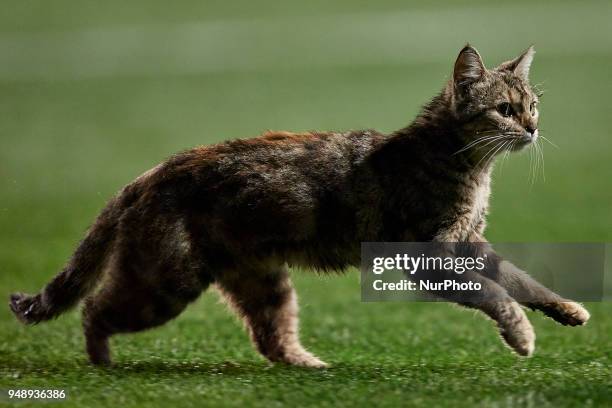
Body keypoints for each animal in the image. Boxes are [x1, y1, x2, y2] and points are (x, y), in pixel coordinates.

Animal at [8, 45, 588, 370]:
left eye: (534, 106)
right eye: (505, 109)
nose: (533, 129)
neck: (461, 161)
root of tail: (150, 173)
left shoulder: (471, 244)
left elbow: (524, 281)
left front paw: (567, 310)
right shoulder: (430, 256)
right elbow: (496, 295)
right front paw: (522, 335)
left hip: (262, 282)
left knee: (271, 337)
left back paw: (311, 366)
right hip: (164, 283)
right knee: (93, 308)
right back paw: (102, 364)